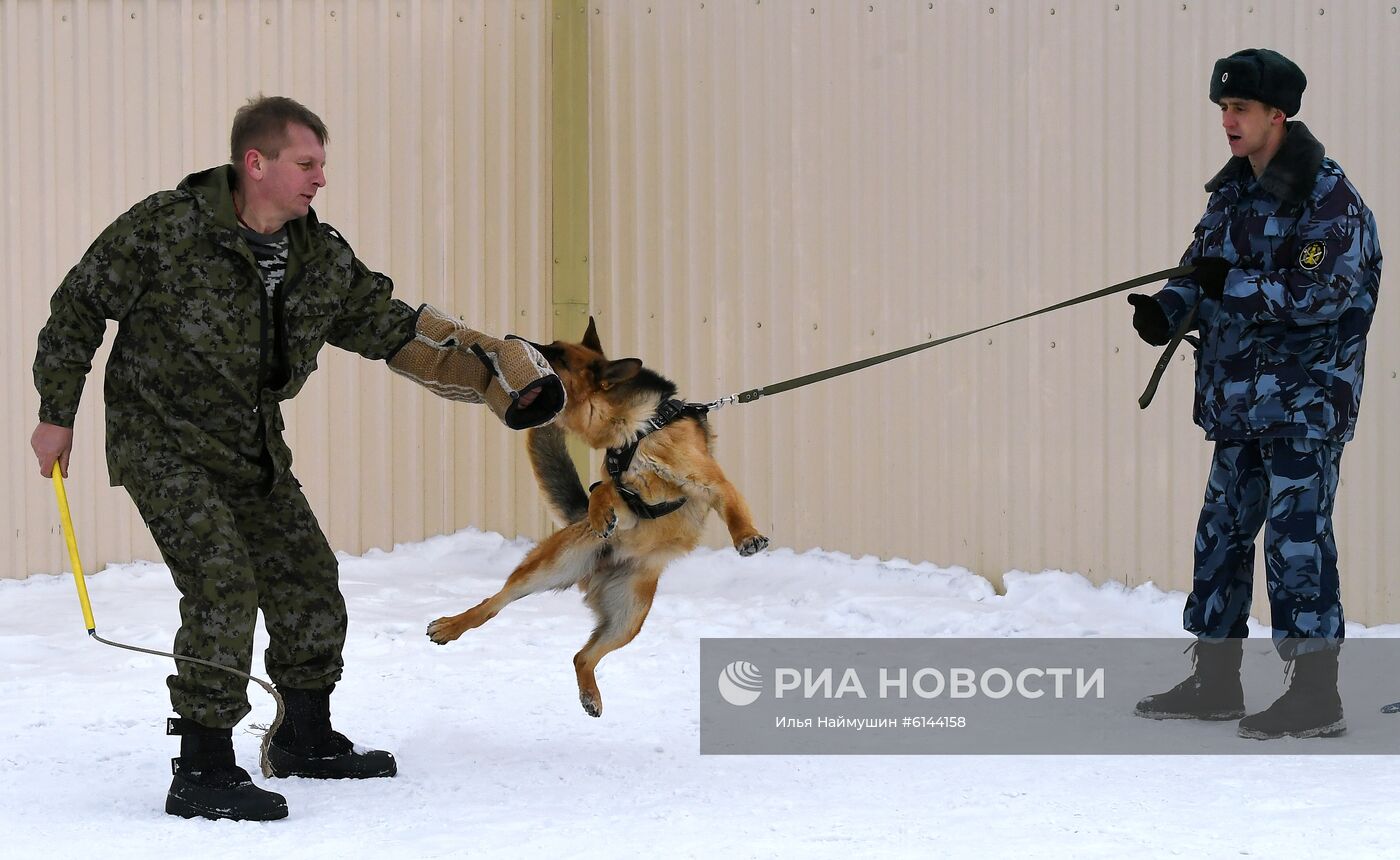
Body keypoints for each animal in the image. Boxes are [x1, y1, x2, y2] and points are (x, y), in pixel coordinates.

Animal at [428, 320, 772, 717]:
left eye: (557, 354)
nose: (511, 338)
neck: (637, 427)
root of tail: (601, 570)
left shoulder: (710, 482)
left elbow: (734, 508)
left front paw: (747, 536)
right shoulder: (629, 495)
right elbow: (604, 488)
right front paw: (599, 514)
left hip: (629, 616)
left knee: (581, 656)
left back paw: (590, 694)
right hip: (551, 569)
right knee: (492, 605)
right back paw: (451, 626)